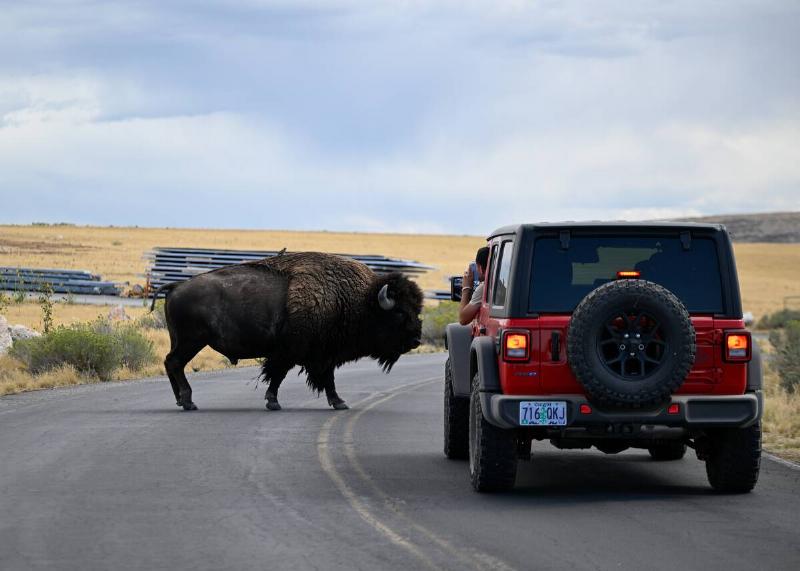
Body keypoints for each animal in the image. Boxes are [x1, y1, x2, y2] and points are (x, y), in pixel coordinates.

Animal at [152, 252, 424, 411]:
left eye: (417, 308)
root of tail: (176, 285)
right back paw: (188, 402)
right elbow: (279, 375)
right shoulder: (292, 352)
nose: (416, 339)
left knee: (171, 363)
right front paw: (273, 402)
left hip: (182, 341)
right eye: (400, 312)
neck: (357, 299)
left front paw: (339, 402)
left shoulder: (324, 355)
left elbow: (327, 379)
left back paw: (181, 400)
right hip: (192, 341)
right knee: (175, 363)